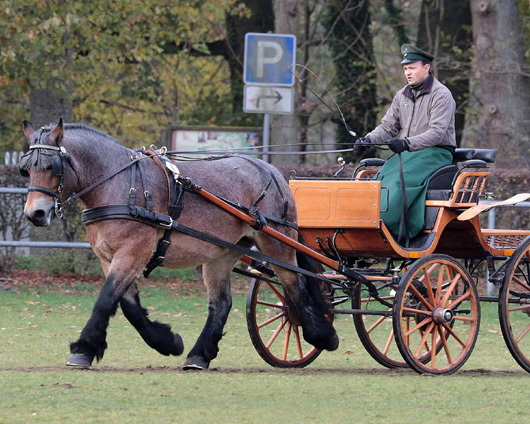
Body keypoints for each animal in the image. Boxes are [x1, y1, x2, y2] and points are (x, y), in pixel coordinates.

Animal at [20, 118, 338, 368]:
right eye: (27, 169)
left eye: (51, 166)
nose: (35, 214)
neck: (121, 184)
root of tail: (271, 170)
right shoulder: (110, 258)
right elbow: (128, 306)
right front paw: (167, 341)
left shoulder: (132, 253)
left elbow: (106, 299)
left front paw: (83, 348)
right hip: (221, 254)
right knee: (221, 303)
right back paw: (199, 355)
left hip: (277, 244)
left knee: (295, 284)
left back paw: (321, 334)